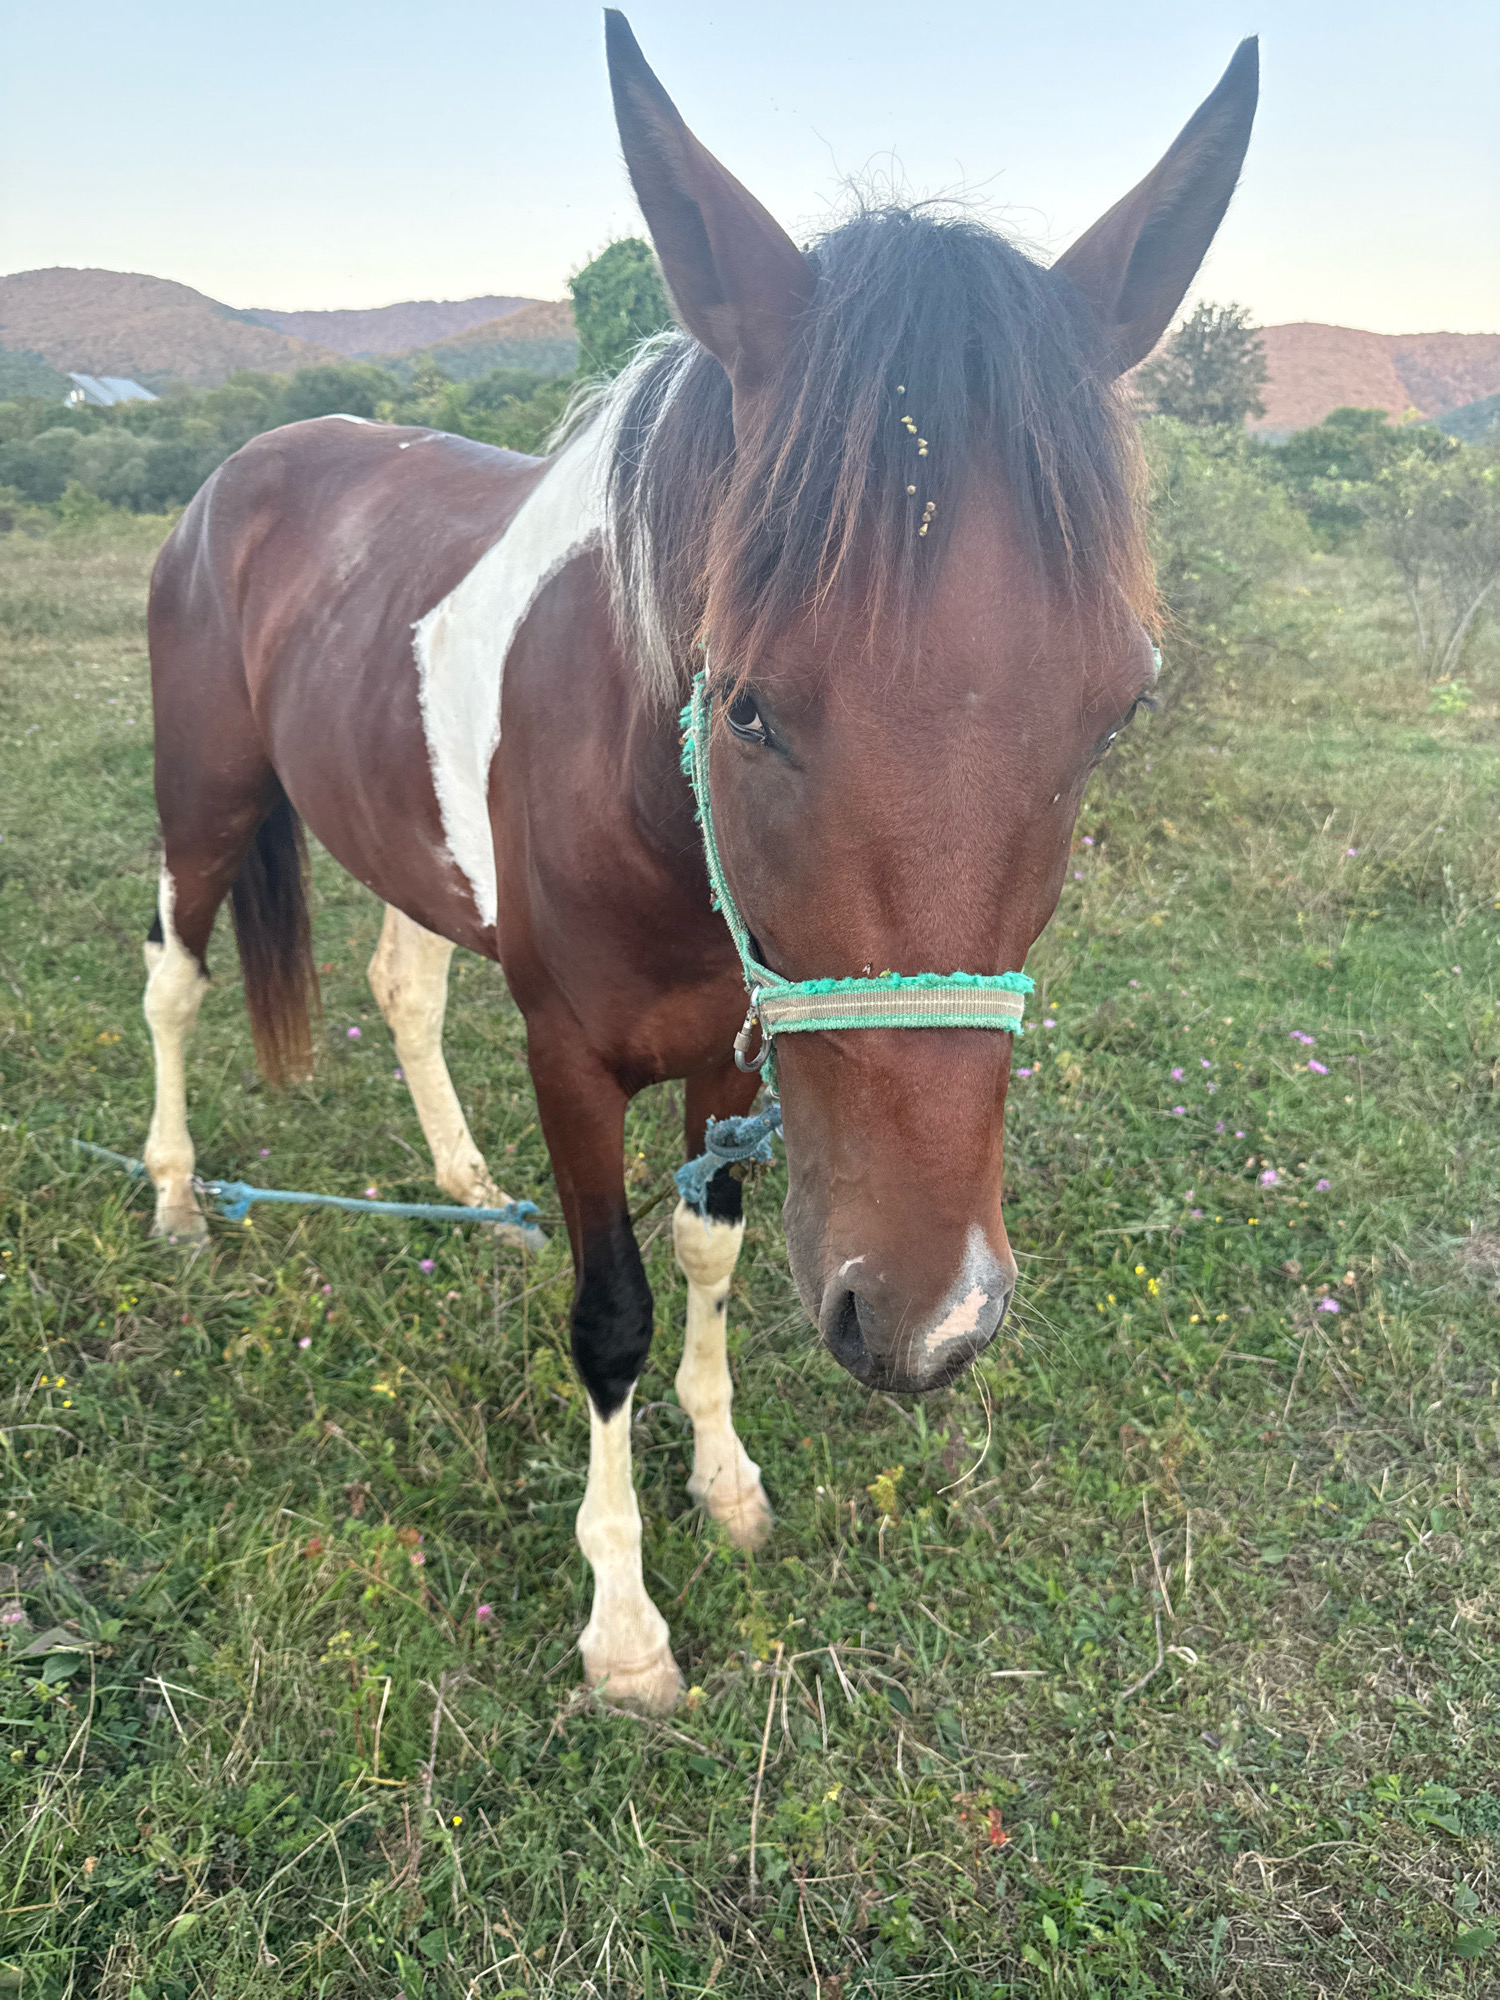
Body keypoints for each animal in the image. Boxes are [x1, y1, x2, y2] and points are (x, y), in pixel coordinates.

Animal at [140, 12, 1257, 1712]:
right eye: (746, 703)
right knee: (174, 985)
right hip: (202, 807)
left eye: (1119, 707)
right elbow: (609, 1311)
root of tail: (236, 472)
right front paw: (623, 1625)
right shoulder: (570, 1056)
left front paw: (726, 1481)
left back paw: (464, 1184)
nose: (930, 1323)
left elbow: (709, 1259)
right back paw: (181, 1204)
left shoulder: (738, 1053)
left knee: (403, 981)